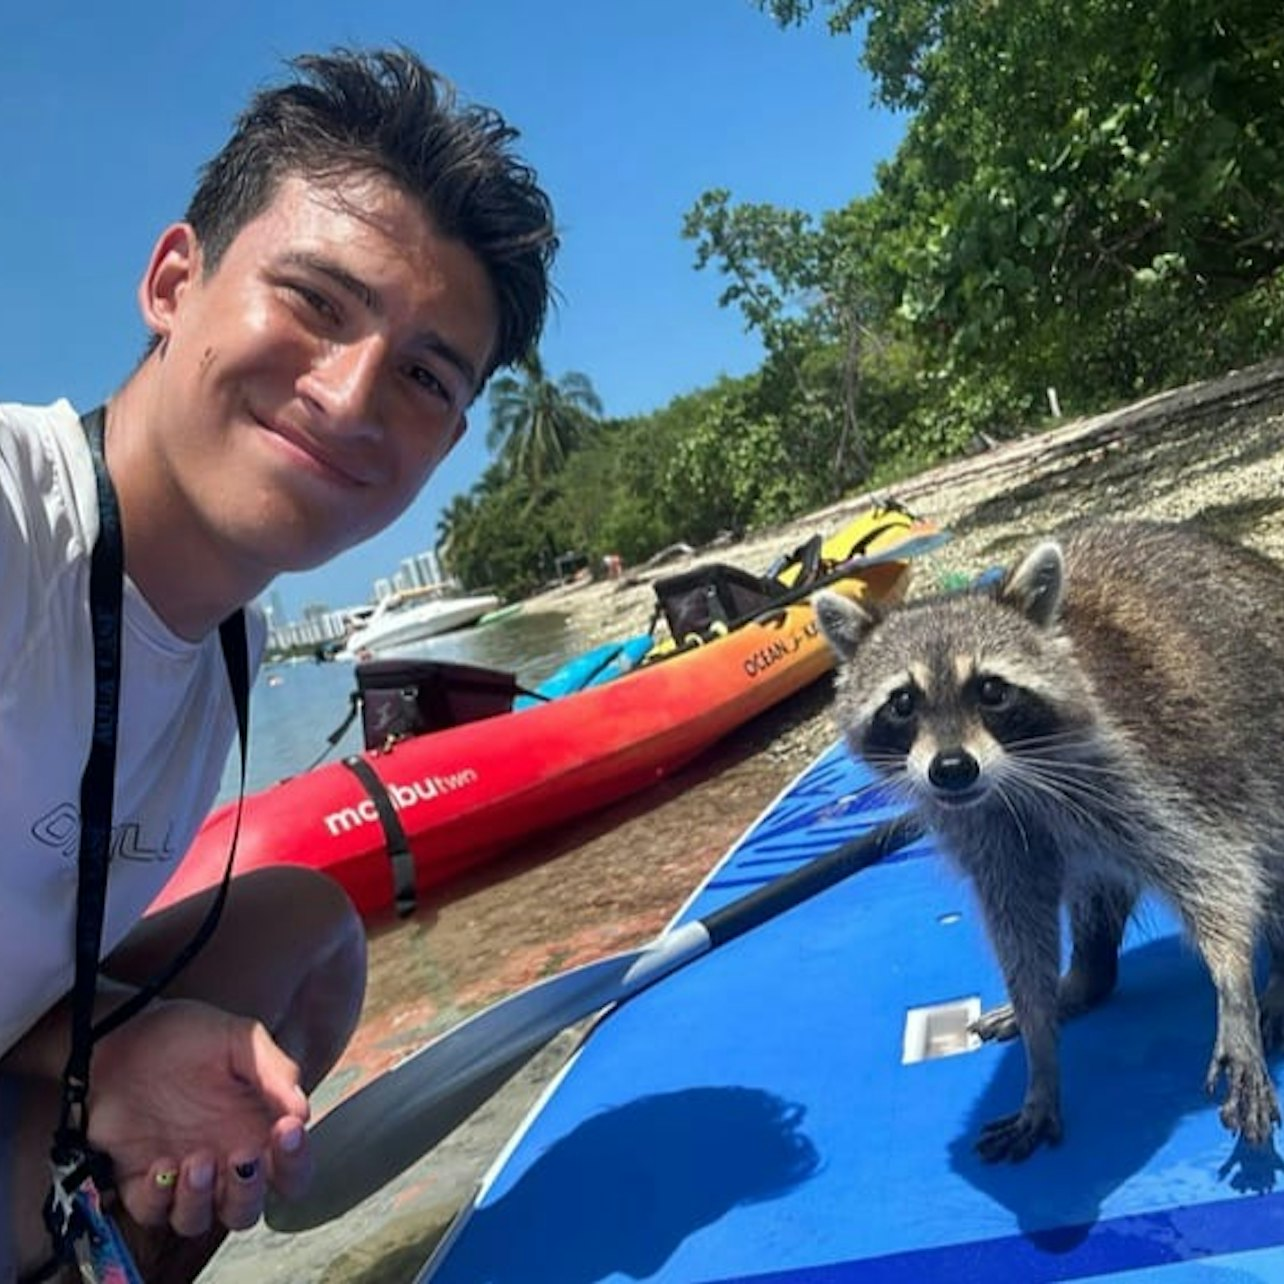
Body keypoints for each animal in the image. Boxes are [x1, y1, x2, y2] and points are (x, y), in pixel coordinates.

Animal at [815, 519, 1284, 1162]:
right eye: (903, 702)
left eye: (991, 690)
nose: (952, 769)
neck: (1010, 780)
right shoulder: (990, 836)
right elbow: (1019, 931)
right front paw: (1040, 1053)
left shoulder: (1150, 769)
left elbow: (1219, 873)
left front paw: (1233, 990)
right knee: (1095, 889)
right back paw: (1086, 976)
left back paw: (1279, 982)